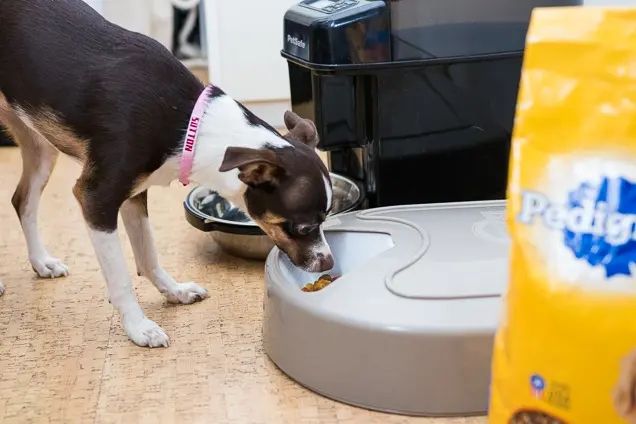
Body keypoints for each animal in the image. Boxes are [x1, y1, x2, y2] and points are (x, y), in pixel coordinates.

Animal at [0, 0, 336, 348]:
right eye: (301, 228)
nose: (329, 263)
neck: (189, 123)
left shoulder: (134, 194)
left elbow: (148, 254)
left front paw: (174, 292)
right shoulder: (96, 198)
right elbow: (120, 278)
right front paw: (138, 326)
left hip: (40, 145)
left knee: (22, 201)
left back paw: (41, 262)